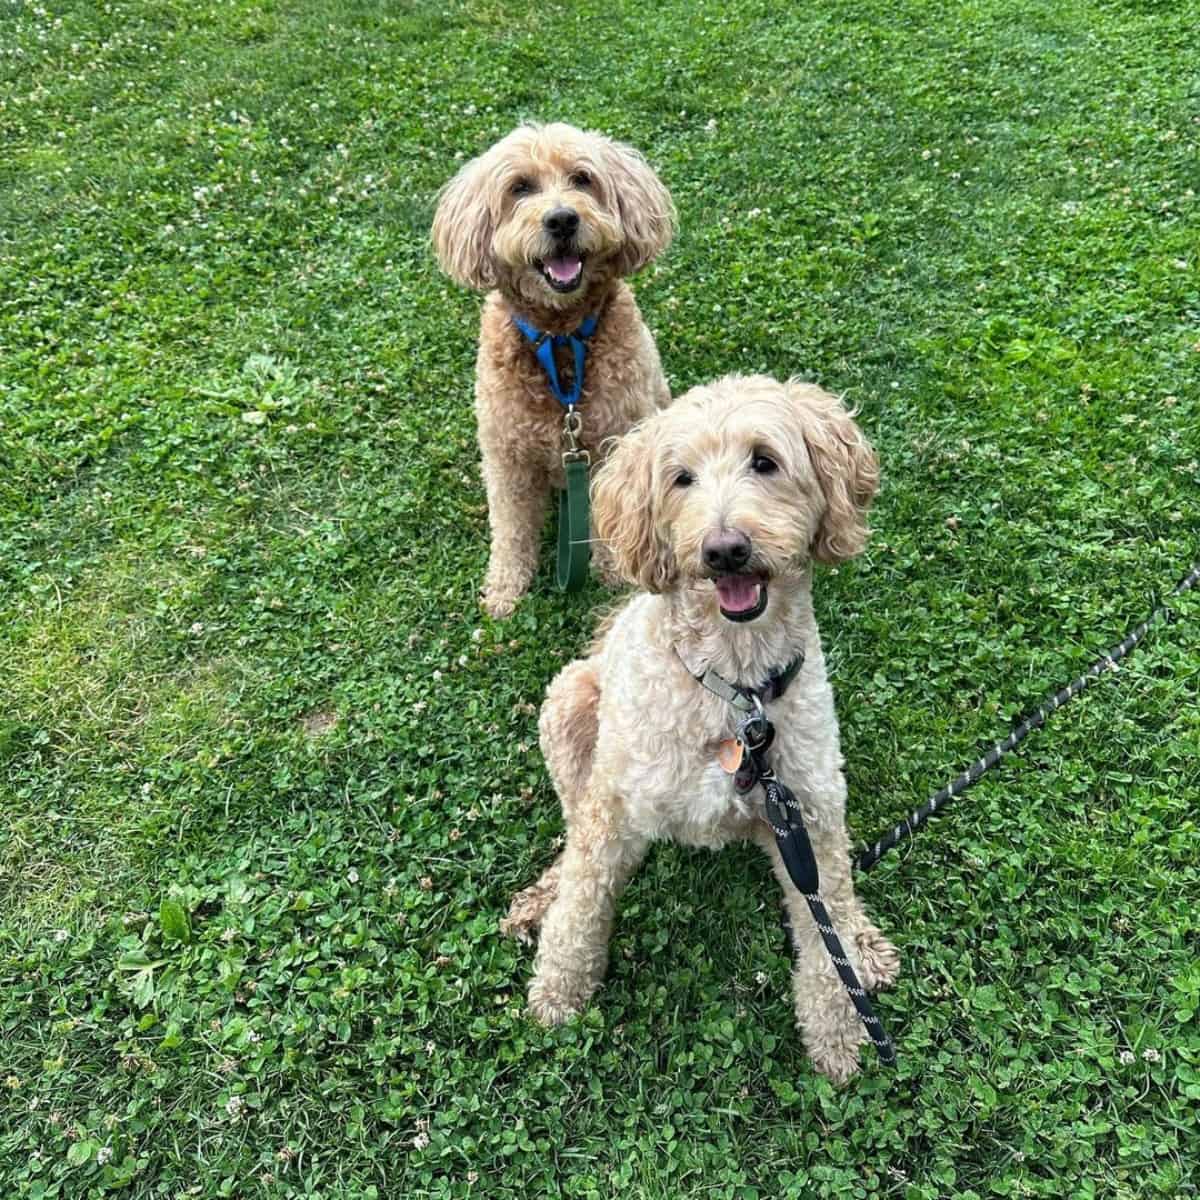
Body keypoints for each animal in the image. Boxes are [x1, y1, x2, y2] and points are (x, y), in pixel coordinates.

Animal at [432, 124, 676, 619]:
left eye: (582, 179)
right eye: (520, 187)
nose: (562, 220)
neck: (561, 339)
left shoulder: (611, 445)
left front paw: (611, 575)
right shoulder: (506, 456)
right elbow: (509, 526)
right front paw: (505, 588)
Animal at [499, 376, 902, 1089]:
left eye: (765, 461)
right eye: (680, 478)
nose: (724, 549)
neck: (735, 691)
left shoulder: (809, 816)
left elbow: (826, 933)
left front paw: (837, 1032)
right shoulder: (614, 807)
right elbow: (581, 901)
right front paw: (559, 991)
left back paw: (864, 943)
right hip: (569, 706)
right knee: (569, 839)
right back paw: (539, 898)